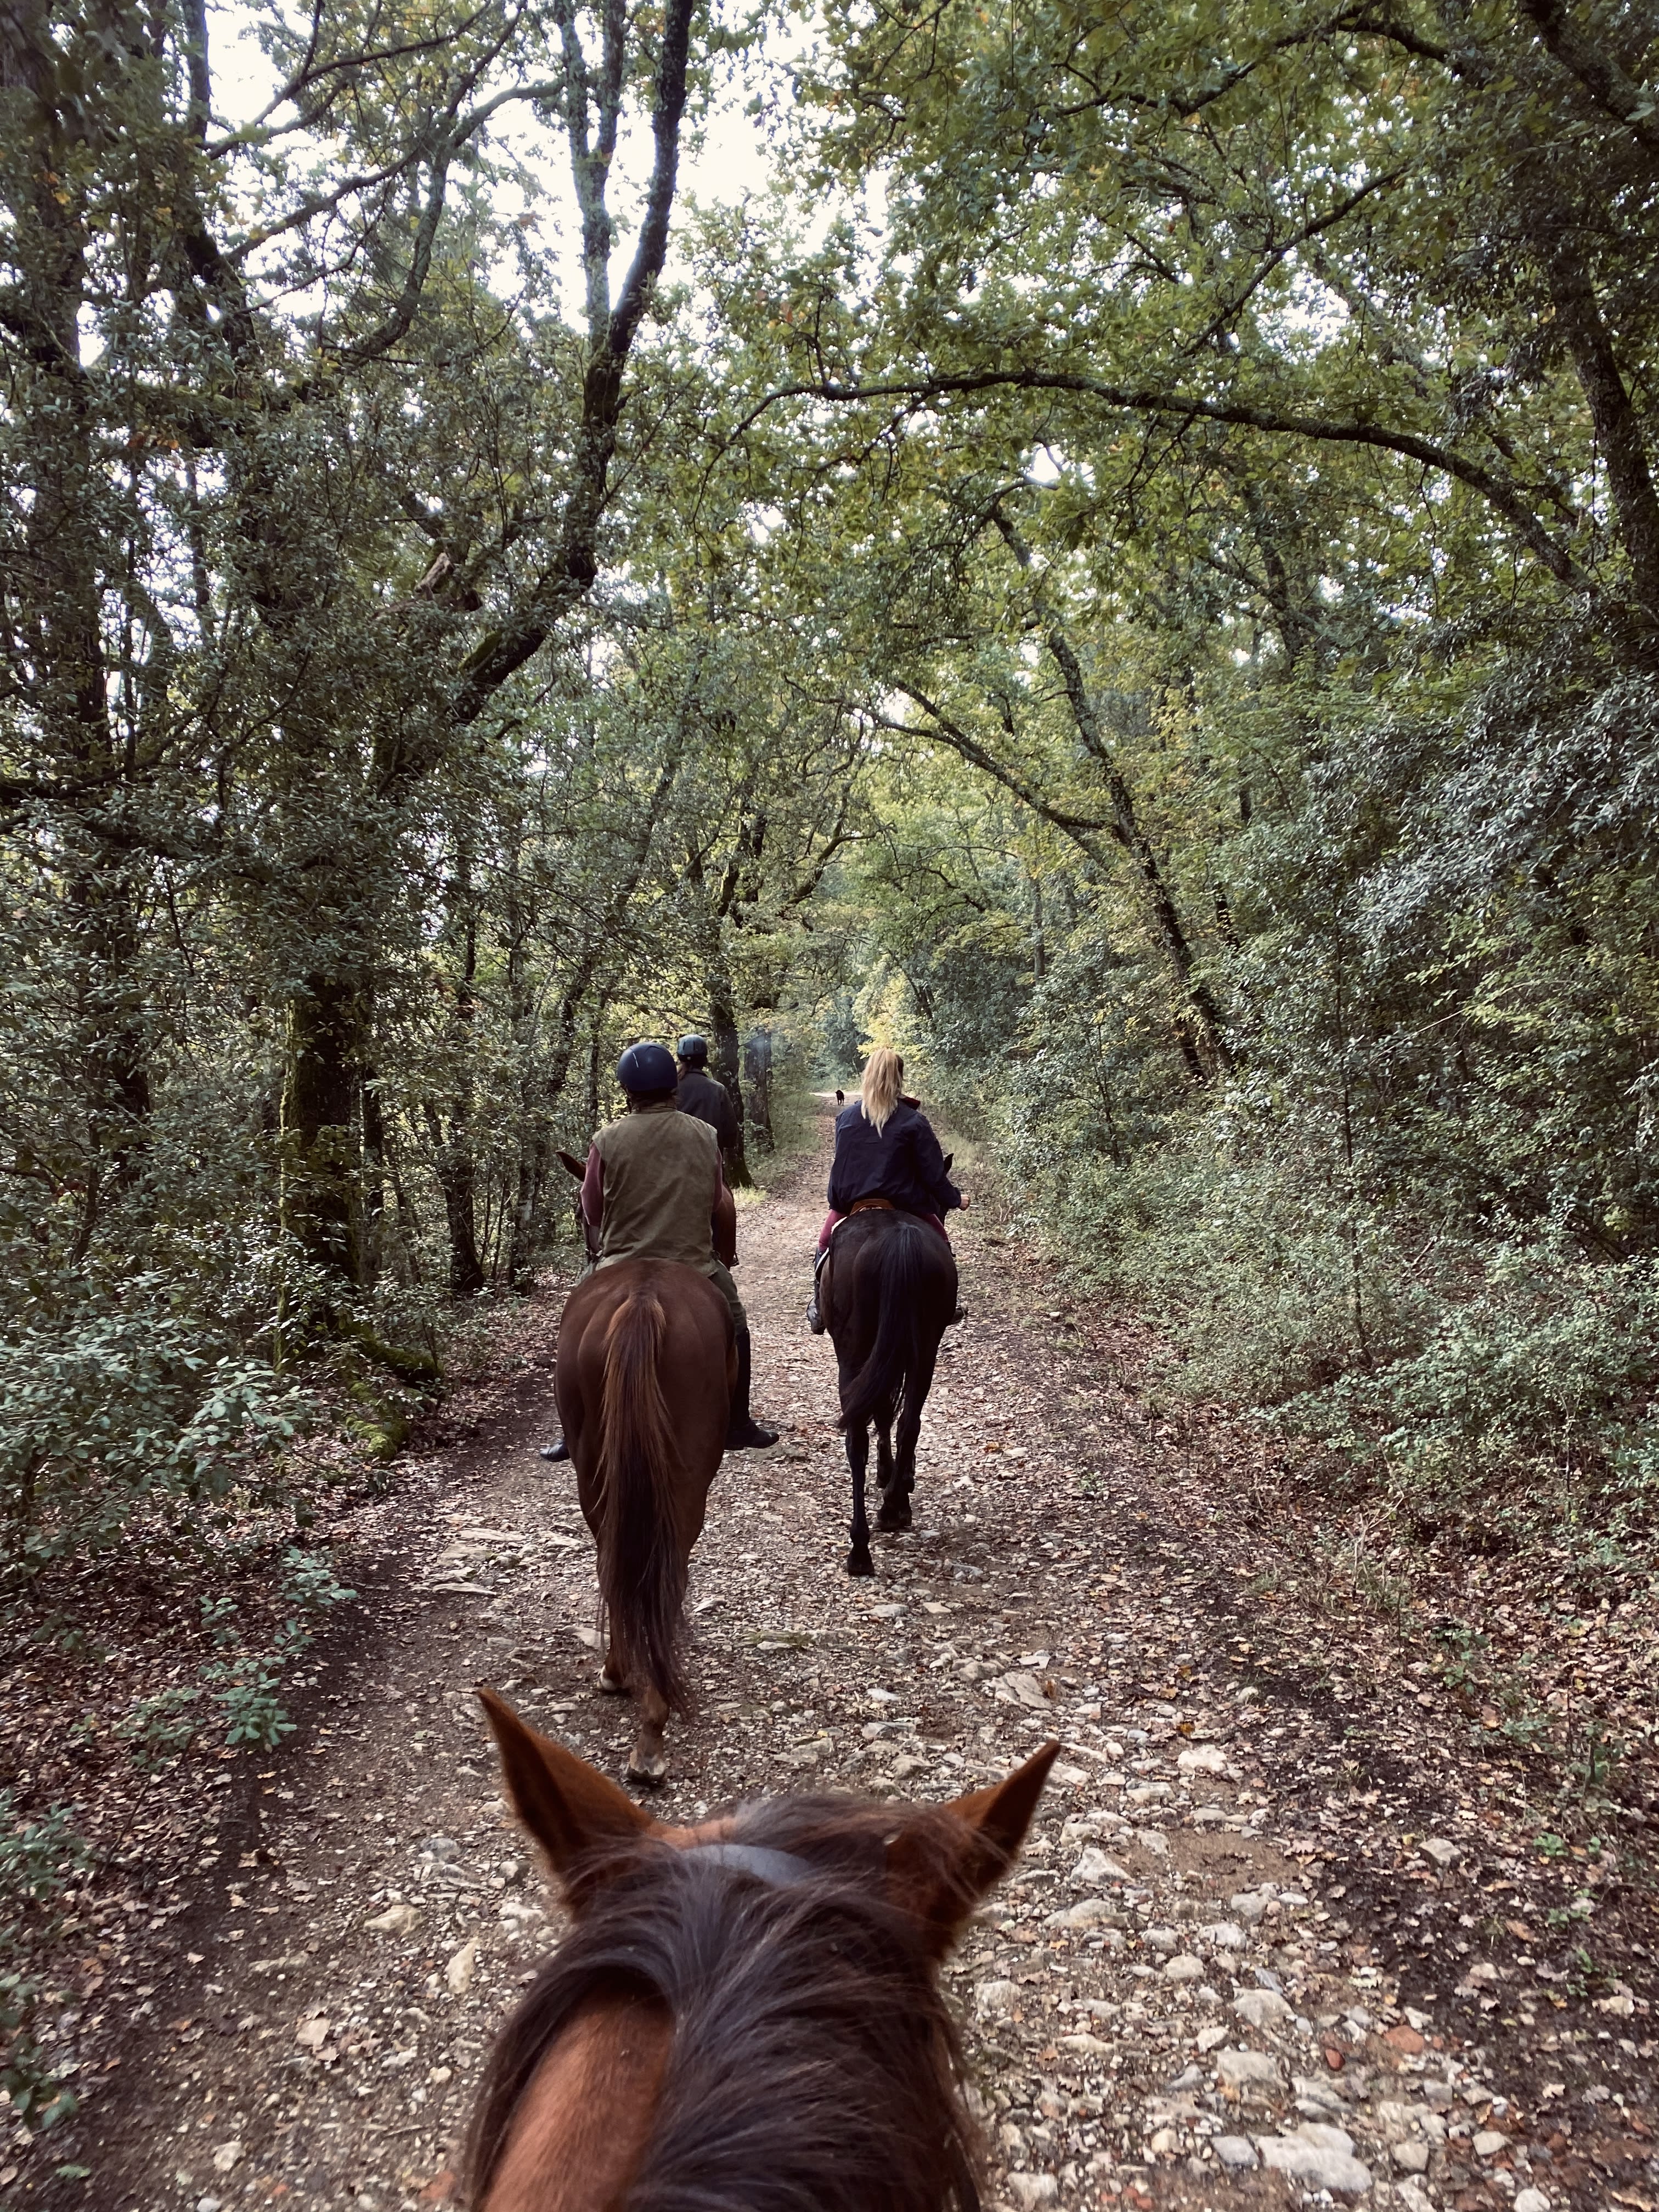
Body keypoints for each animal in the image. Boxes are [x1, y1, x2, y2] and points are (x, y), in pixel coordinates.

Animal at [554, 1260, 732, 1783]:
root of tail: (642, 1298)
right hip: (685, 1475)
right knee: (663, 1576)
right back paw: (650, 1726)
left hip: (596, 1467)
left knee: (616, 1564)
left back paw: (626, 1686)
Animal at [820, 1205, 959, 1577]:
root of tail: (900, 1238)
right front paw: (898, 1479)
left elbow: (880, 1414)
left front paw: (886, 1472)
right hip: (925, 1348)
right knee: (909, 1423)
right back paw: (894, 1508)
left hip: (854, 1355)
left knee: (857, 1441)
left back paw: (861, 1547)